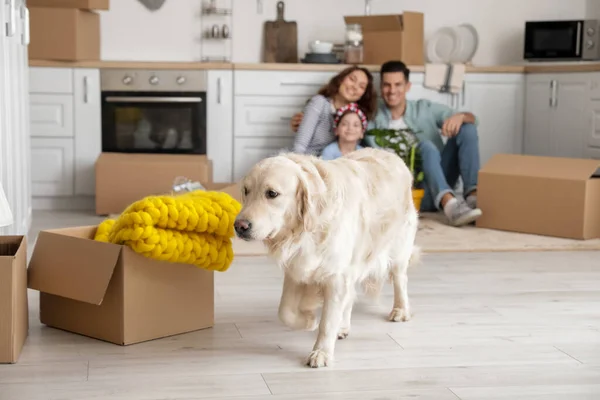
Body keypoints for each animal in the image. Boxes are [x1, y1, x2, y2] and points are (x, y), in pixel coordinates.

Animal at [232, 148, 420, 368]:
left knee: (400, 280)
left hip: (398, 248)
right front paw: (308, 320)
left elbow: (328, 321)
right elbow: (284, 311)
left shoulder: (336, 277)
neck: (308, 229)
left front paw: (321, 352)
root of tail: (392, 154)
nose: (239, 226)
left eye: (272, 193)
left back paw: (400, 310)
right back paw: (343, 326)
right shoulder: (297, 269)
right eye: (246, 191)